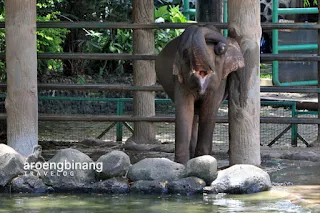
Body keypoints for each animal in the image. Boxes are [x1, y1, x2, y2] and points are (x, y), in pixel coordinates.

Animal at [156, 24, 245, 165]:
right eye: (185, 53)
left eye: (219, 52)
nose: (221, 46)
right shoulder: (180, 80)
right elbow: (185, 110)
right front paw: (181, 164)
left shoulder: (220, 82)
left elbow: (209, 110)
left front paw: (203, 160)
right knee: (193, 116)